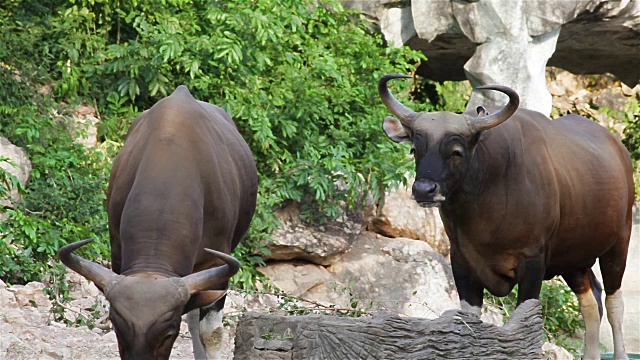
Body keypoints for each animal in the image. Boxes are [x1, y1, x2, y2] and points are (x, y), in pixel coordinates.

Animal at [378, 74, 632, 360]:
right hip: (574, 259)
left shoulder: (532, 262)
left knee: (613, 302)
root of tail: (620, 151)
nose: (424, 189)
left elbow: (526, 325)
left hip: (619, 242)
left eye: (456, 151)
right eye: (414, 149)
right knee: (591, 301)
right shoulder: (462, 262)